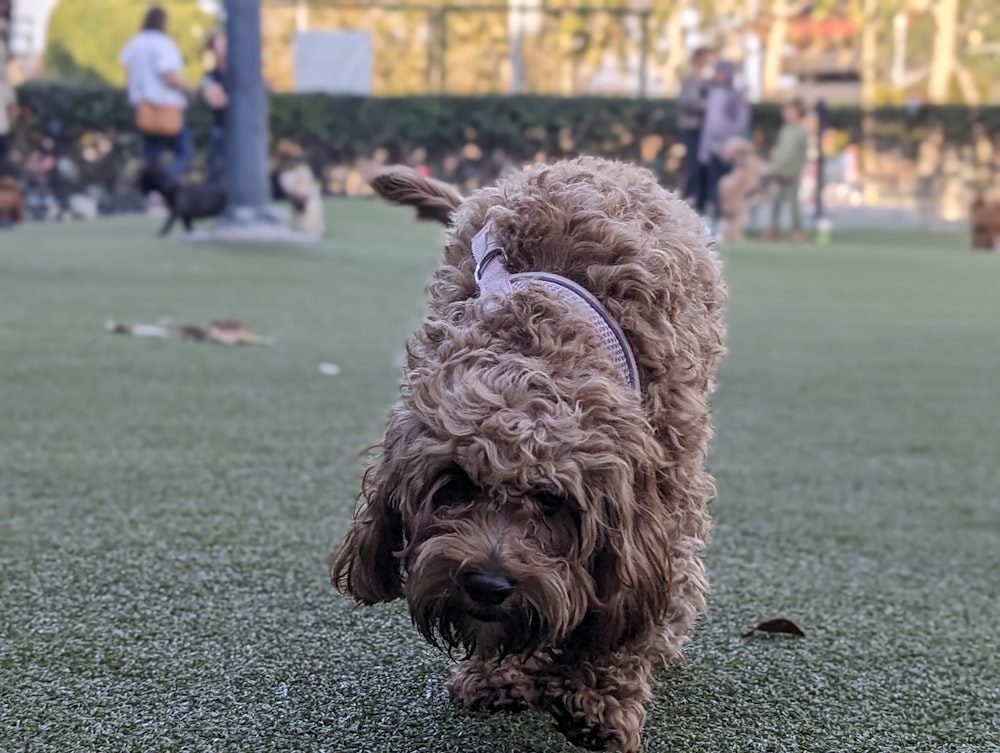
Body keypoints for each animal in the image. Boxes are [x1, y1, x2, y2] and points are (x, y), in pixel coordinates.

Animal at [139, 166, 306, 236]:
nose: (135, 182)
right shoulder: (185, 216)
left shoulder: (176, 211)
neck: (170, 188)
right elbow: (188, 227)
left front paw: (162, 233)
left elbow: (168, 223)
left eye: (144, 176)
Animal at [334, 156, 728, 748]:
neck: (538, 332)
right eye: (454, 487)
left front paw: (599, 696)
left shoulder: (662, 490)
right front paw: (501, 674)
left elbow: (631, 601)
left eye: (551, 501)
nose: (488, 585)